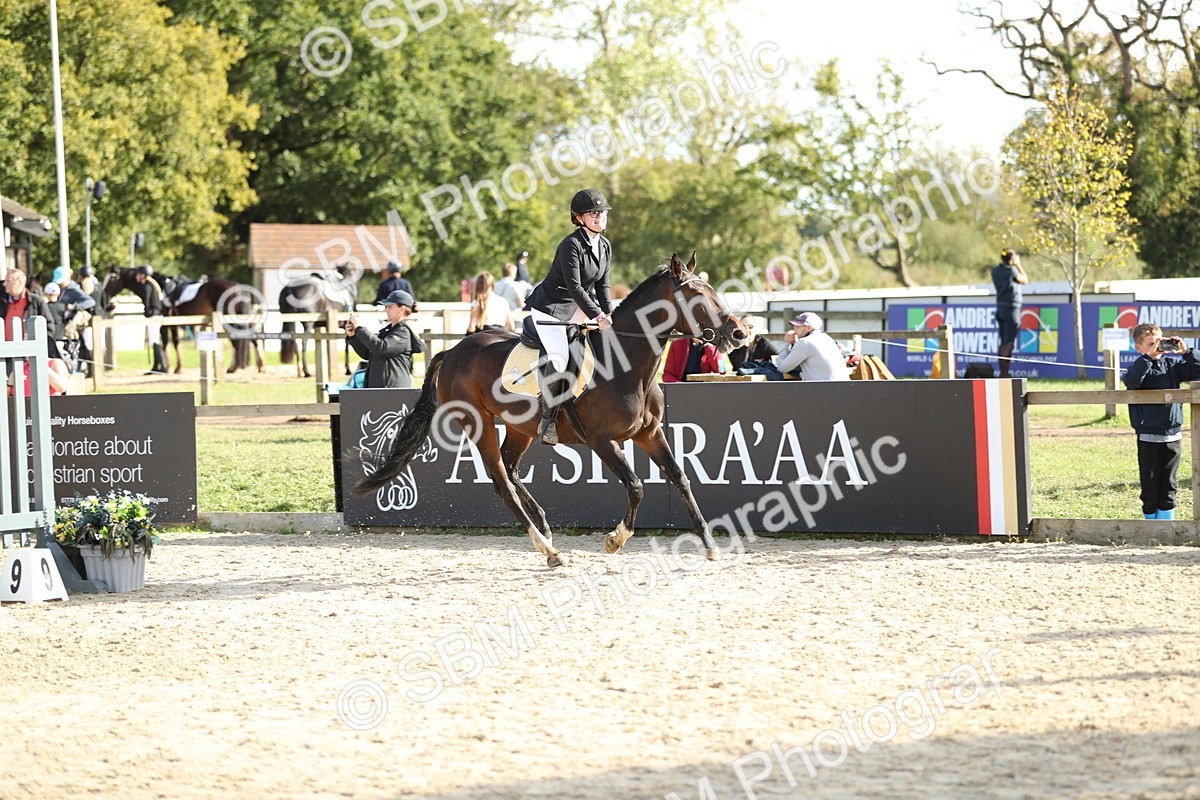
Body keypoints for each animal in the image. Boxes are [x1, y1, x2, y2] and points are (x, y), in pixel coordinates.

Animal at [100, 266, 264, 374]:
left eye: (111, 279)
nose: (104, 296)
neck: (159, 287)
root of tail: (239, 287)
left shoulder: (166, 323)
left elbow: (167, 343)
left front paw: (167, 368)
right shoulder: (175, 323)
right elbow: (174, 343)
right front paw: (173, 367)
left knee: (237, 341)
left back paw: (233, 368)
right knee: (251, 339)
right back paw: (260, 366)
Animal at [354, 252, 747, 568]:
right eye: (698, 296)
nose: (739, 334)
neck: (627, 365)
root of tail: (451, 352)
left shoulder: (649, 434)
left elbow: (681, 479)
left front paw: (709, 545)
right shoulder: (602, 440)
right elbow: (636, 486)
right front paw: (615, 539)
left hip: (518, 427)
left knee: (511, 469)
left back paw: (545, 529)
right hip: (478, 423)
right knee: (502, 482)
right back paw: (549, 550)